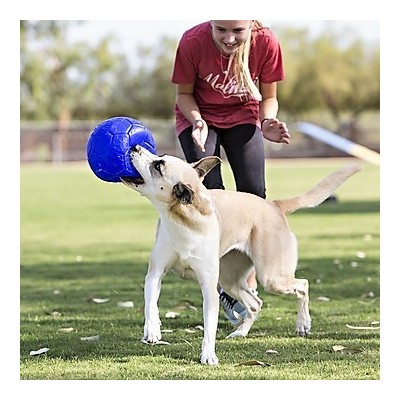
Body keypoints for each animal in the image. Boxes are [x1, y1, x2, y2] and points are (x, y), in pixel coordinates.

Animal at [120, 146, 360, 366]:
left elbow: (209, 327)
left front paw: (208, 355)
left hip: (271, 277)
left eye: (158, 165)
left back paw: (303, 324)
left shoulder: (209, 288)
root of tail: (273, 206)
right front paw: (152, 330)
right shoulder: (155, 273)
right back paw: (241, 332)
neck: (183, 220)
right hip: (230, 279)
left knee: (303, 284)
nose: (135, 146)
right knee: (256, 303)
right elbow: (151, 303)